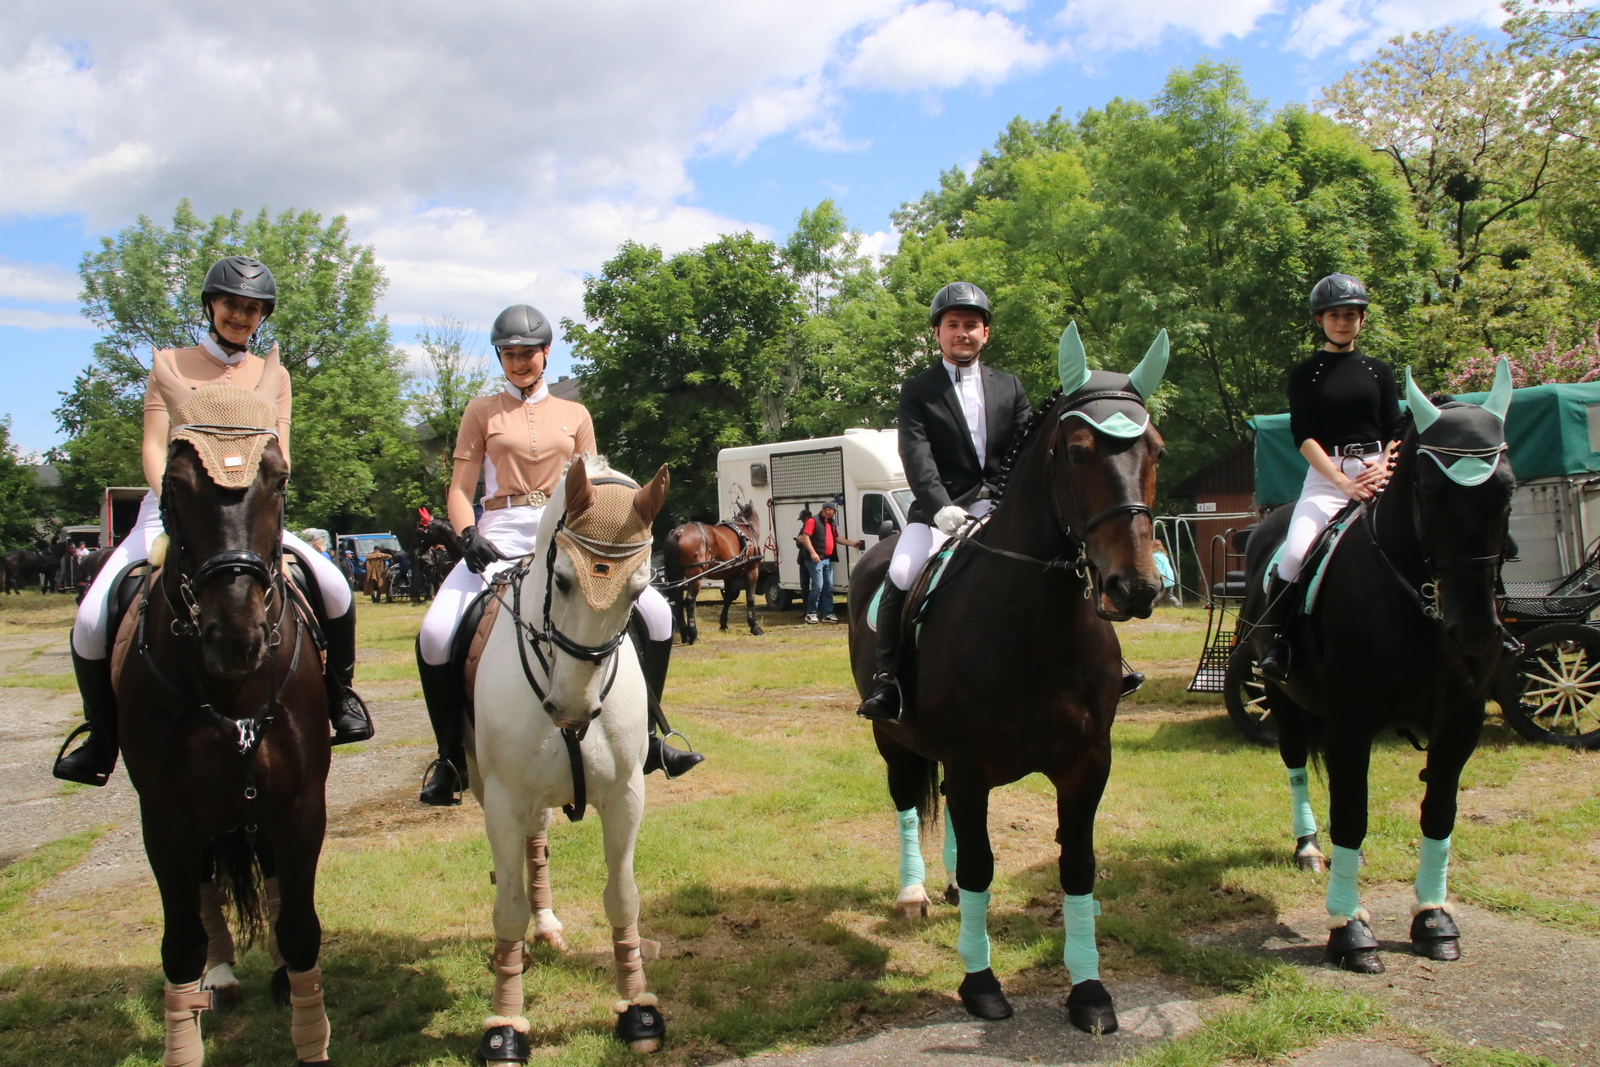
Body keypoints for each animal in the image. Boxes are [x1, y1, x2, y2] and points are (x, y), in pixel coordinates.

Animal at [116, 385, 337, 1067]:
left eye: (278, 479)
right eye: (176, 483)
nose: (236, 636)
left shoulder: (300, 801)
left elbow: (300, 925)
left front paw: (307, 1029)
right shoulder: (163, 814)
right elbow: (182, 938)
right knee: (207, 891)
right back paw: (217, 979)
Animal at [662, 505, 761, 646]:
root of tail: (678, 532)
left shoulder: (729, 574)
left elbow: (728, 598)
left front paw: (723, 624)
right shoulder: (752, 570)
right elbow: (750, 597)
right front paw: (755, 626)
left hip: (678, 575)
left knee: (678, 600)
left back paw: (685, 635)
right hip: (695, 575)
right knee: (690, 601)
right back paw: (693, 635)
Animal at [844, 326, 1171, 1036]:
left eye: (1156, 449)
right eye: (1078, 452)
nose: (1133, 588)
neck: (1038, 623)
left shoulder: (1087, 763)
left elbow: (1076, 865)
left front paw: (1089, 991)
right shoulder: (970, 766)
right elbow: (981, 864)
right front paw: (981, 984)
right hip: (892, 738)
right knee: (907, 800)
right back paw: (914, 892)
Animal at [1241, 361, 1516, 979]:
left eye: (1507, 489)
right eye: (1430, 490)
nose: (1473, 632)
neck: (1420, 600)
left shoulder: (1460, 723)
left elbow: (1439, 813)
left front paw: (1434, 920)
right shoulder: (1350, 723)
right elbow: (1351, 814)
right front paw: (1349, 930)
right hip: (1284, 698)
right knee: (1298, 766)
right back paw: (1309, 848)